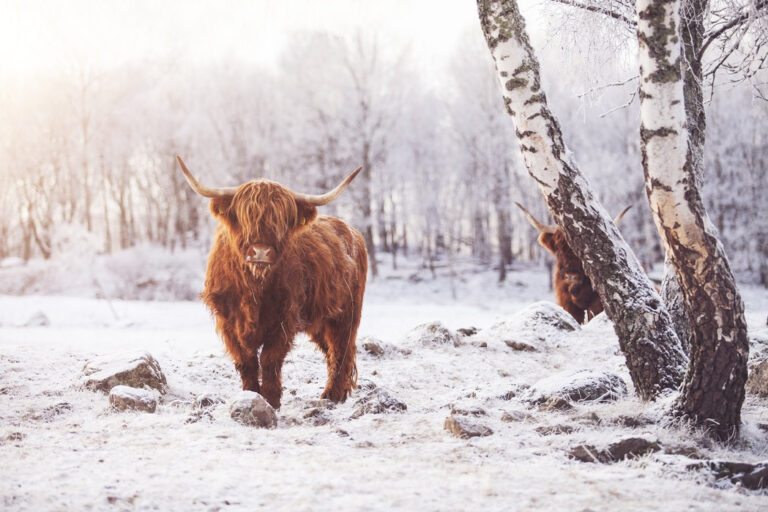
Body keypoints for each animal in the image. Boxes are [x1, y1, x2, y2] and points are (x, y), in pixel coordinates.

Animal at [176, 156, 368, 408]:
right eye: (245, 216)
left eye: (281, 220)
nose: (260, 251)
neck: (254, 287)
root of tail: (353, 231)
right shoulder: (228, 321)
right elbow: (246, 361)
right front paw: (250, 395)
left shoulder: (285, 318)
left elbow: (270, 359)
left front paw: (271, 399)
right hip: (319, 319)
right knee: (330, 350)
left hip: (347, 313)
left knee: (341, 349)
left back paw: (333, 394)